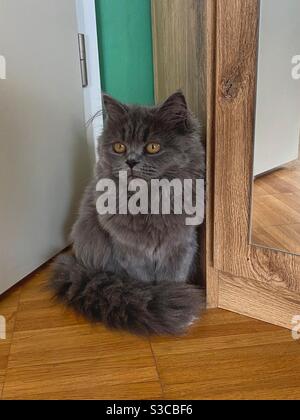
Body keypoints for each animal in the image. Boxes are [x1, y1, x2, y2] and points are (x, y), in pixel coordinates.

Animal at [51, 91, 206, 334]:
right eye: (119, 147)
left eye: (153, 147)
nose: (131, 161)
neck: (149, 203)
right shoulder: (129, 252)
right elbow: (144, 283)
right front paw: (161, 302)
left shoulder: (180, 246)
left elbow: (173, 278)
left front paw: (174, 298)